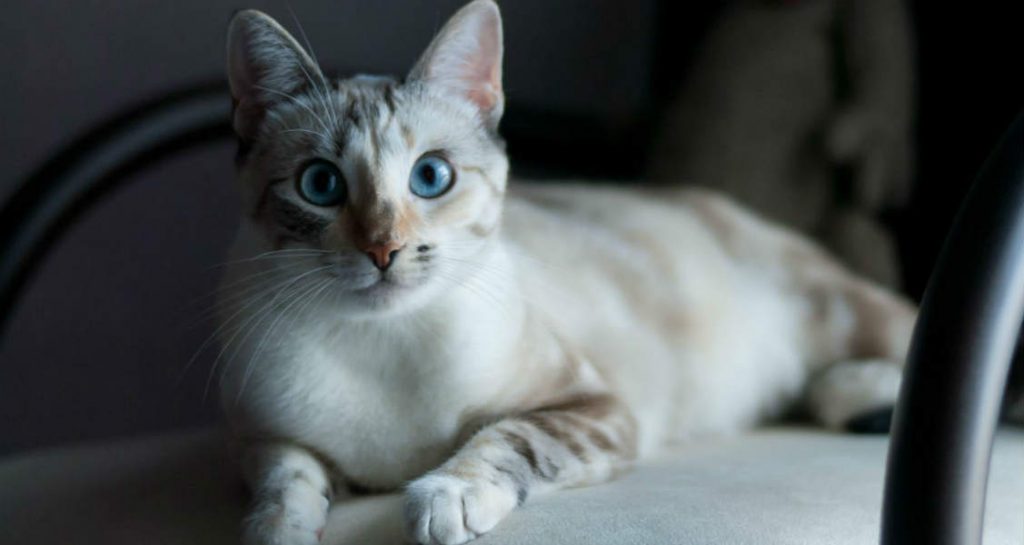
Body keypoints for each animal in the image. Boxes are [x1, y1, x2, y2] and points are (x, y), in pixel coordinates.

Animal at [218, 2, 921, 540]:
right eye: (320, 185)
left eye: (430, 176)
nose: (383, 250)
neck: (385, 348)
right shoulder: (264, 439)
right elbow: (285, 483)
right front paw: (277, 531)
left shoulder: (594, 407)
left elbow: (508, 440)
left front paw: (445, 497)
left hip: (844, 315)